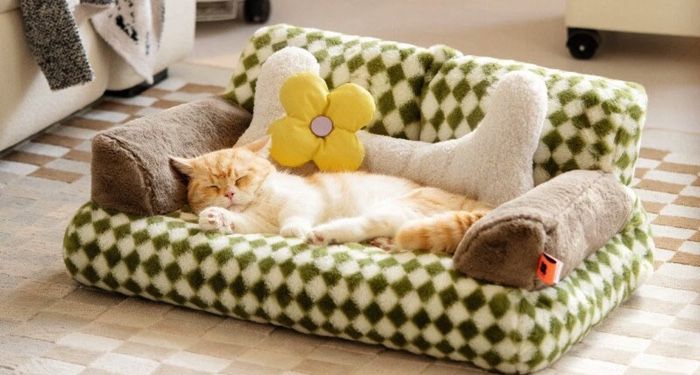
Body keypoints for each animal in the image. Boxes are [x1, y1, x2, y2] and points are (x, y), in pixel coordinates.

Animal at [172, 137, 490, 254]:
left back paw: (323, 233)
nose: (228, 193)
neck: (260, 202)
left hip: (400, 206)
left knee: (369, 223)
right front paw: (214, 217)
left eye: (240, 178)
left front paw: (294, 229)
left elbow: (295, 214)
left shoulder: (305, 197)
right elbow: (240, 222)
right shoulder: (260, 223)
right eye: (213, 187)